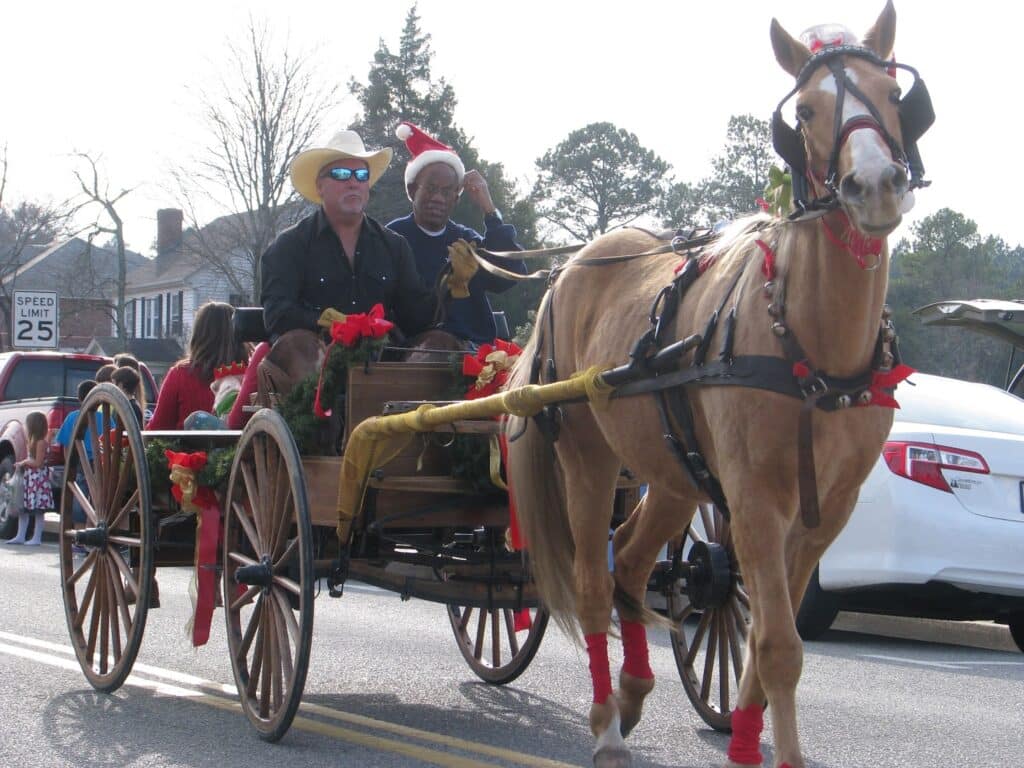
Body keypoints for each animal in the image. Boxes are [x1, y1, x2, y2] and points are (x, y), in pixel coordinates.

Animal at [509, 3, 929, 765]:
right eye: (807, 109)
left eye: (893, 93)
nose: (876, 184)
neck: (813, 351)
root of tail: (569, 270)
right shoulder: (756, 498)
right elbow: (779, 646)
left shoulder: (827, 513)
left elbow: (765, 643)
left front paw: (744, 737)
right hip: (587, 457)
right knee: (593, 585)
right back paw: (605, 723)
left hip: (674, 476)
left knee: (631, 565)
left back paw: (634, 692)